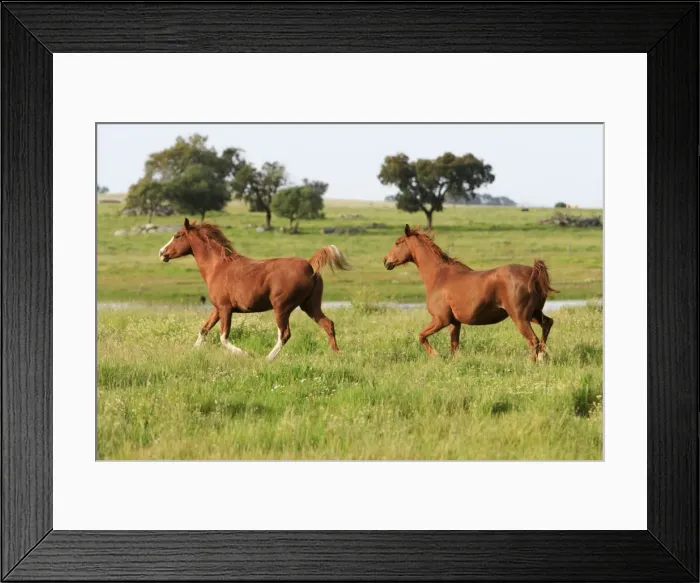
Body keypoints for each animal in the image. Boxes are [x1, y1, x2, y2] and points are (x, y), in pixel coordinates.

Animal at [158, 218, 351, 361]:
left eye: (177, 235)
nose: (161, 253)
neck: (217, 267)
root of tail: (310, 265)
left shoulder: (226, 309)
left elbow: (223, 337)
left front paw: (247, 354)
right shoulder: (217, 308)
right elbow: (204, 329)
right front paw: (191, 353)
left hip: (282, 307)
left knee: (284, 334)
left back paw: (267, 359)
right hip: (310, 305)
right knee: (328, 324)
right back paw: (337, 353)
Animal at [382, 224, 558, 361]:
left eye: (397, 242)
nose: (385, 261)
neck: (439, 276)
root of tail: (533, 272)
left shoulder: (441, 320)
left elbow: (421, 336)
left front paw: (436, 356)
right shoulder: (454, 323)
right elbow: (454, 347)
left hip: (520, 318)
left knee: (533, 340)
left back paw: (532, 363)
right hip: (534, 314)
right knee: (547, 325)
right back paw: (543, 357)